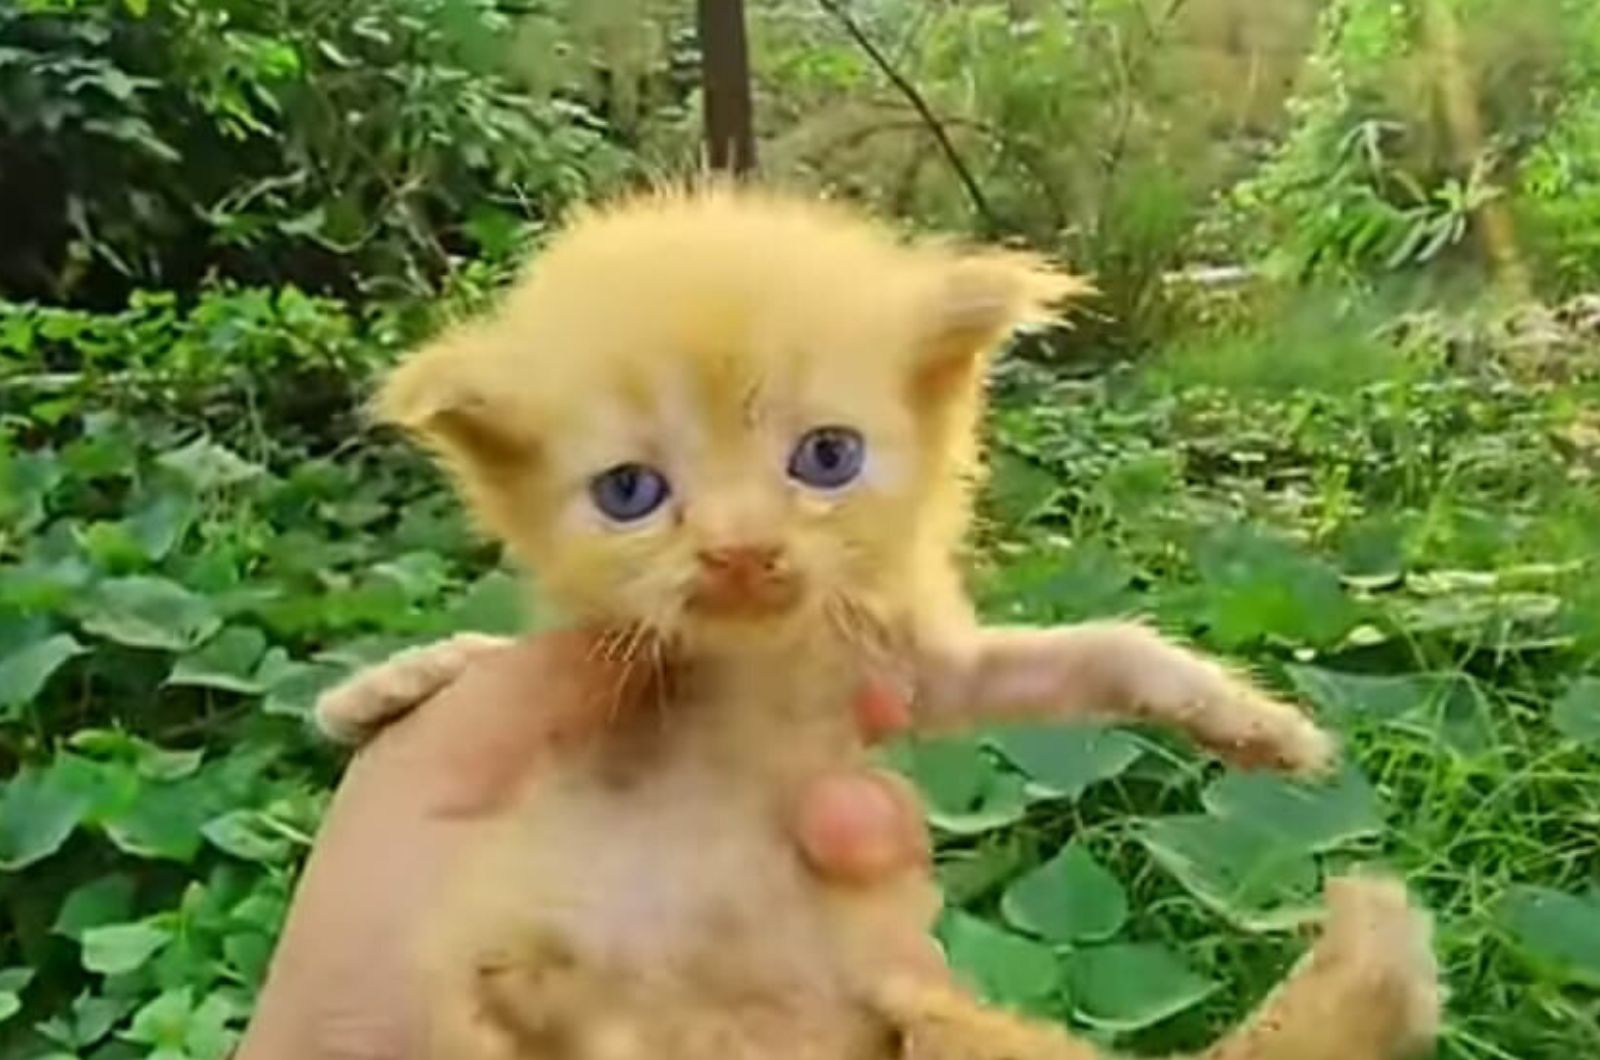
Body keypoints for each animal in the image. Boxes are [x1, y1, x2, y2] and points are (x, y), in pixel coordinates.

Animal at [315, 186, 1440, 1056]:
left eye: (827, 457)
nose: (739, 550)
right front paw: (382, 688)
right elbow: (488, 658)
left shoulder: (913, 674)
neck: (758, 670)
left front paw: (1252, 721)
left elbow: (1100, 645)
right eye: (630, 491)